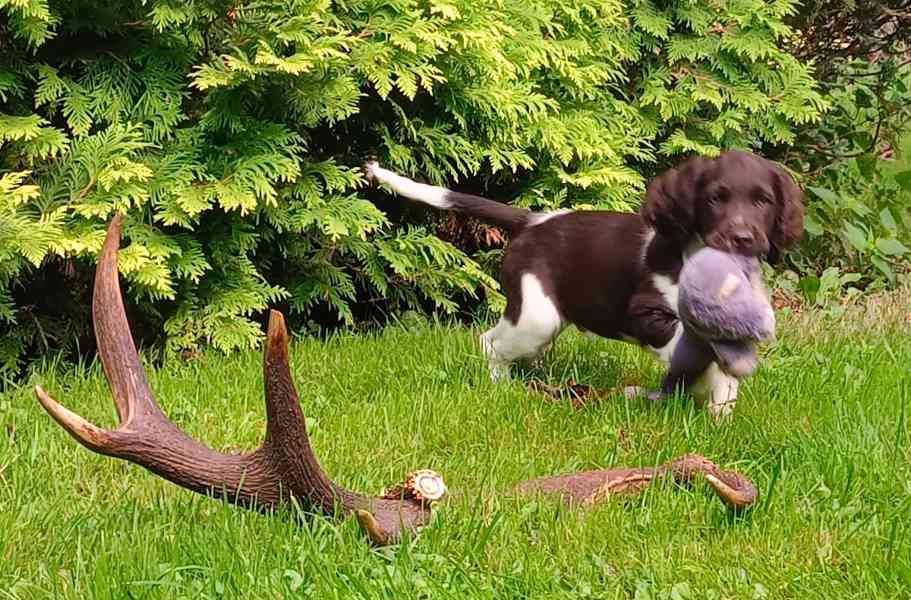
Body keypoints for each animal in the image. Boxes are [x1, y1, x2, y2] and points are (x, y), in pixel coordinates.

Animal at [366, 152, 804, 420]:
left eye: (763, 201)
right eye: (716, 198)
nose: (742, 238)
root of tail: (533, 221)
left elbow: (723, 372)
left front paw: (719, 413)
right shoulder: (644, 311)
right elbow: (688, 345)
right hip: (536, 314)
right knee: (490, 341)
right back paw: (501, 385)